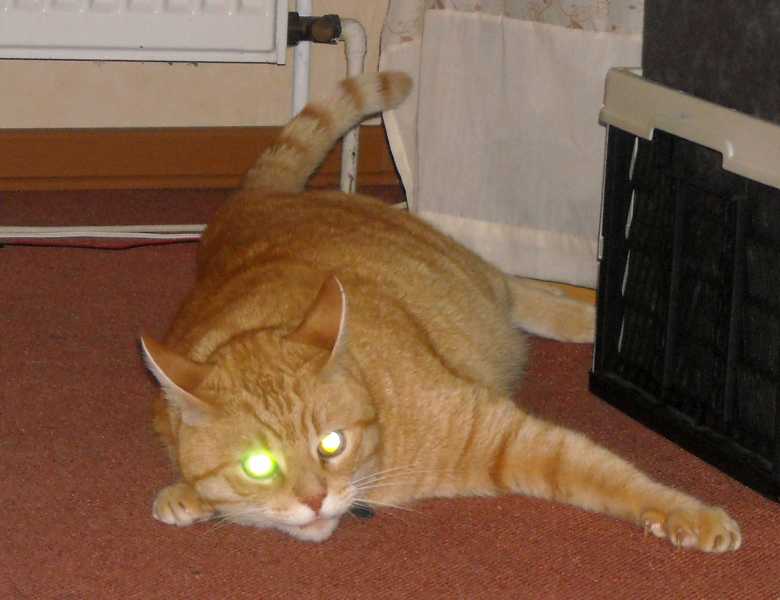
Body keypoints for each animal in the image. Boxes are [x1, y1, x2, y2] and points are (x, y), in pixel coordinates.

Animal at [140, 71, 740, 552]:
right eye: (259, 466)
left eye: (331, 443)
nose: (314, 499)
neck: (381, 443)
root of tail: (247, 201)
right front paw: (186, 495)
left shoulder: (507, 434)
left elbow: (615, 476)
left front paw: (692, 515)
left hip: (475, 276)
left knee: (524, 292)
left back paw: (593, 320)